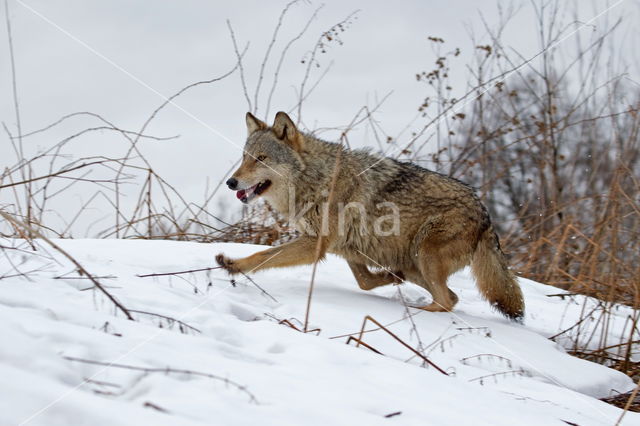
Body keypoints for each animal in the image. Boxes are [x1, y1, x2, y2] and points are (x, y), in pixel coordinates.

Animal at [215, 110, 524, 320]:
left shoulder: (315, 244)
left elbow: (262, 256)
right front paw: (391, 278)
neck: (317, 179)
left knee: (446, 301)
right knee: (451, 296)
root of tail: (485, 213)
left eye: (261, 159)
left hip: (424, 255)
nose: (230, 182)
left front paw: (233, 265)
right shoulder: (346, 246)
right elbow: (364, 282)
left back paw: (417, 310)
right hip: (415, 263)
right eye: (244, 157)